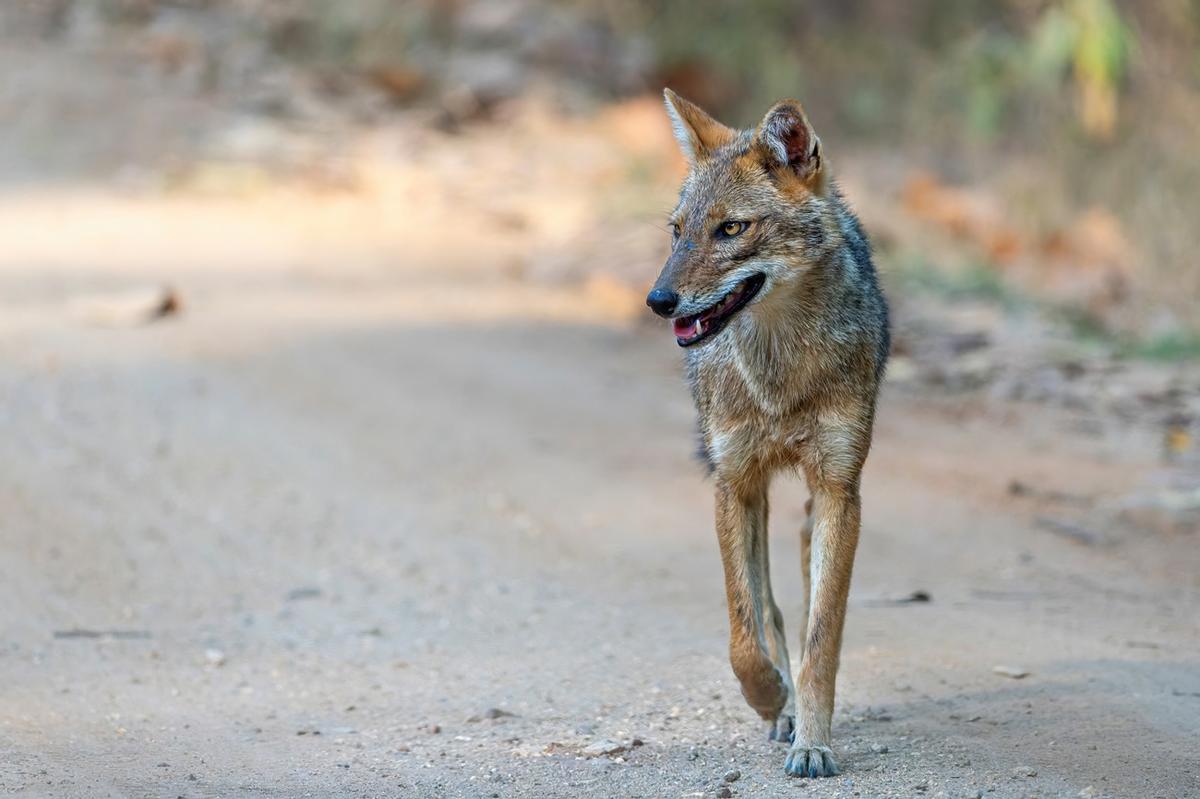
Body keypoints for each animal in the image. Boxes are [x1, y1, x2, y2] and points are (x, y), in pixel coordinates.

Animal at [646, 89, 889, 777]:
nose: (658, 300)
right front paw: (770, 699)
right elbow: (743, 633)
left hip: (823, 502)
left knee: (806, 589)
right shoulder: (736, 483)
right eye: (678, 232)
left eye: (732, 229)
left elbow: (823, 639)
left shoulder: (838, 487)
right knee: (771, 609)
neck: (778, 377)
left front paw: (814, 742)